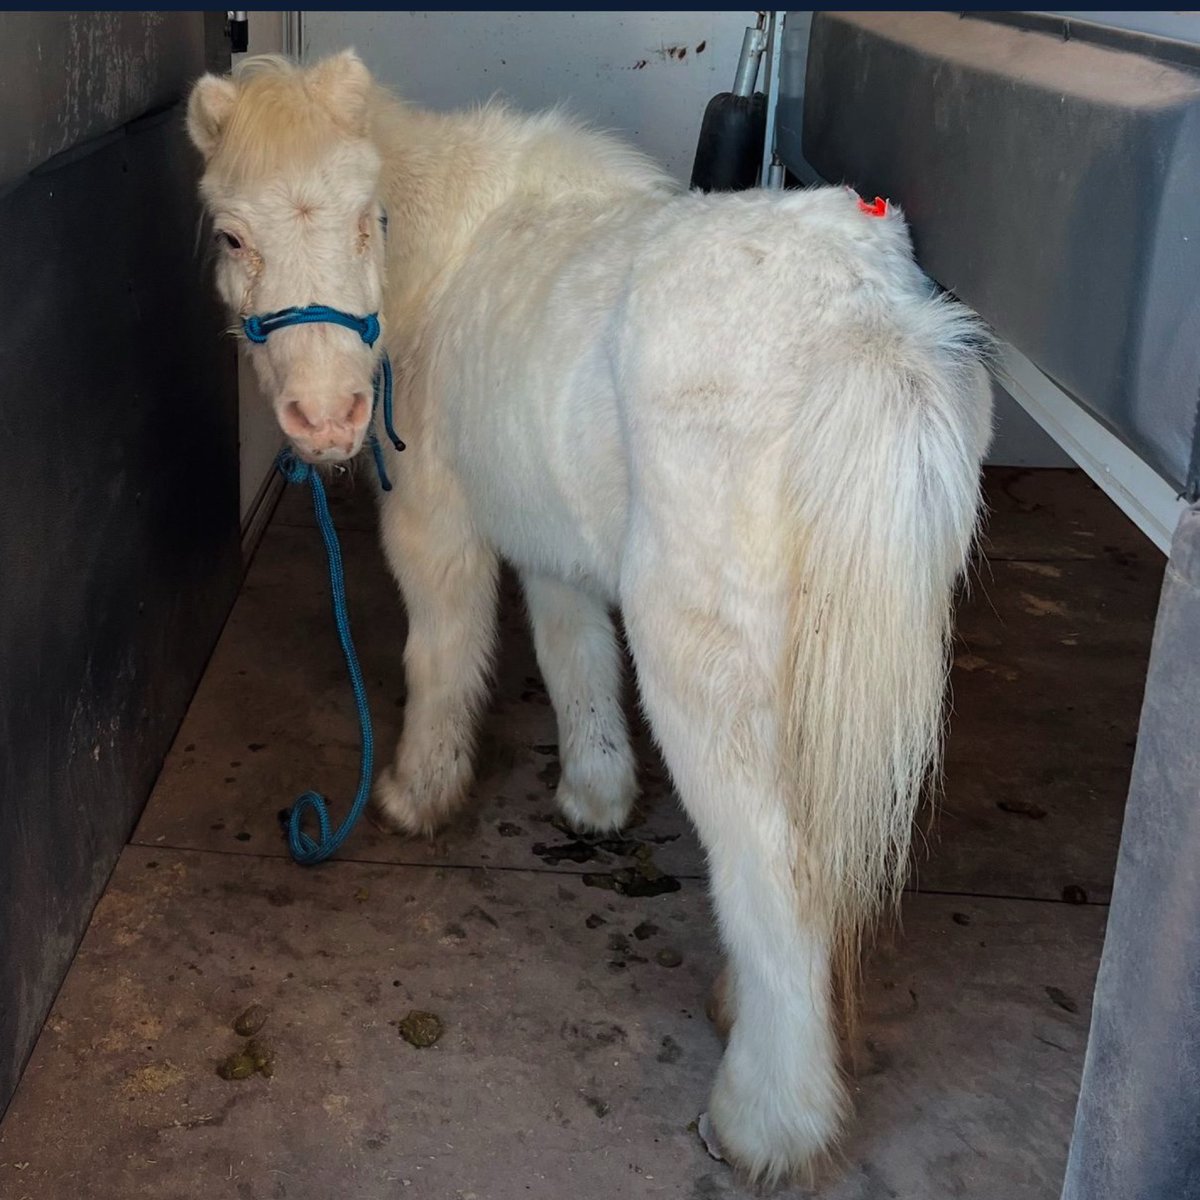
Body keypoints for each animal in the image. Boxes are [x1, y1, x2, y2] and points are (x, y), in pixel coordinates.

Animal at [186, 50, 993, 1186]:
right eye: (231, 234)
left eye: (364, 217)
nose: (327, 419)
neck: (447, 252)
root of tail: (864, 324)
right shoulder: (553, 533)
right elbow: (575, 657)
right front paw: (596, 794)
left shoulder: (434, 524)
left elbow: (442, 657)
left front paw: (417, 795)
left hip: (708, 673)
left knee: (777, 872)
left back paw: (766, 1122)